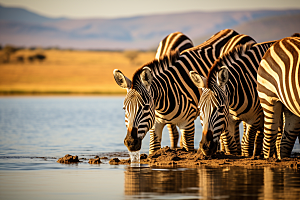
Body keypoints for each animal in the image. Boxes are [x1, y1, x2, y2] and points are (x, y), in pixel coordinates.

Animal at [113, 28, 254, 154]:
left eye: (146, 107)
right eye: (125, 109)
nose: (130, 143)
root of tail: (231, 31)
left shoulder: (187, 125)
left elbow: (188, 149)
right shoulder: (155, 124)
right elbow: (154, 149)